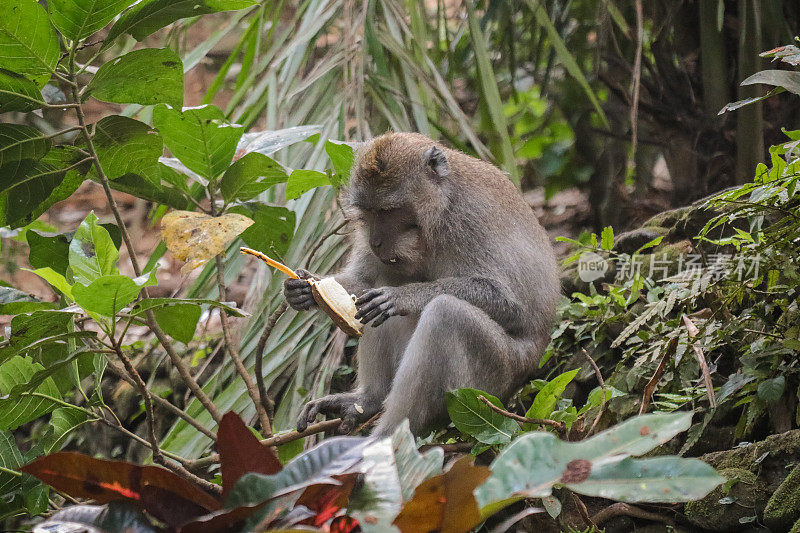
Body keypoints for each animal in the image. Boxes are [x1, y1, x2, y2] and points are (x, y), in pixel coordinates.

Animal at [284, 131, 560, 434]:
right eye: (369, 211)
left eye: (388, 210)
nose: (375, 242)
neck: (440, 208)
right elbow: (363, 281)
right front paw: (306, 288)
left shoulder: (469, 219)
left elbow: (509, 302)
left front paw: (401, 297)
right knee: (382, 289)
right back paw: (369, 399)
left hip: (494, 379)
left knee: (446, 315)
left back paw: (385, 436)